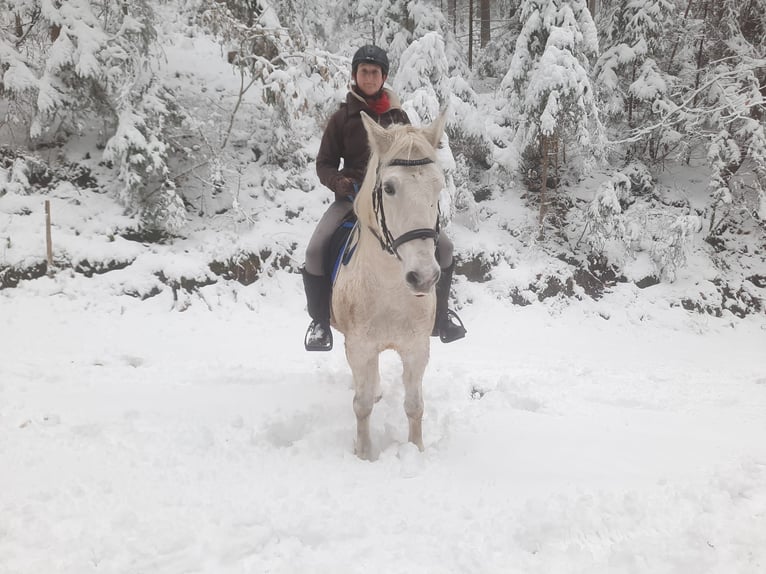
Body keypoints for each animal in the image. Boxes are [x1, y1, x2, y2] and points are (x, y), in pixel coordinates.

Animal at [331, 111, 447, 460]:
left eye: (438, 186)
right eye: (389, 188)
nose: (423, 276)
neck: (390, 292)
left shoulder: (416, 349)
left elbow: (415, 406)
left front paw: (416, 451)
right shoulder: (359, 347)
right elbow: (362, 405)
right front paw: (364, 454)